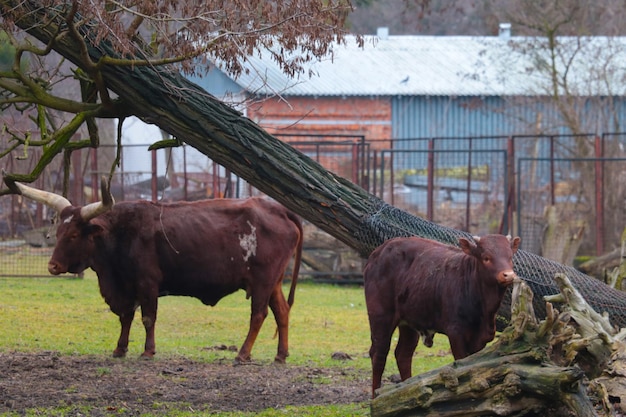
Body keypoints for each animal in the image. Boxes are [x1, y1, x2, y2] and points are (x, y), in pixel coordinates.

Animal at [11, 177, 302, 362]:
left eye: (73, 235)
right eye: (58, 233)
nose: (53, 266)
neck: (119, 233)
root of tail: (278, 209)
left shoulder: (147, 282)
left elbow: (148, 317)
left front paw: (148, 351)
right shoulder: (126, 286)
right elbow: (126, 317)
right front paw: (120, 349)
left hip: (262, 280)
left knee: (259, 314)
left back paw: (242, 354)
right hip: (274, 282)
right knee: (282, 311)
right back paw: (281, 355)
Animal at [360, 232, 516, 394]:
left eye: (510, 257)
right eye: (486, 257)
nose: (508, 275)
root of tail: (379, 252)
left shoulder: (479, 340)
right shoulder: (456, 333)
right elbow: (460, 362)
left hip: (409, 321)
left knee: (403, 354)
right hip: (381, 316)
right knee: (379, 354)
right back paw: (375, 396)